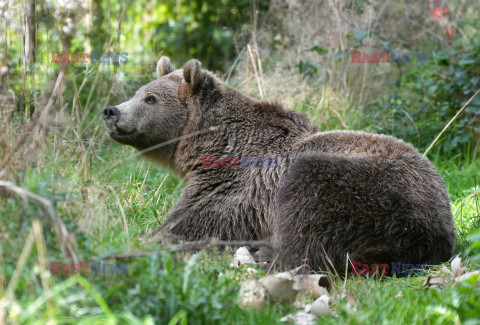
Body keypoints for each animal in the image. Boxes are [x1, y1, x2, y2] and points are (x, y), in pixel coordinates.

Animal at [103, 56, 456, 274]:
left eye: (149, 99)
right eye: (137, 92)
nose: (111, 110)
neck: (209, 145)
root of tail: (438, 230)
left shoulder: (235, 186)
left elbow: (188, 223)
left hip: (372, 189)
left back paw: (265, 254)